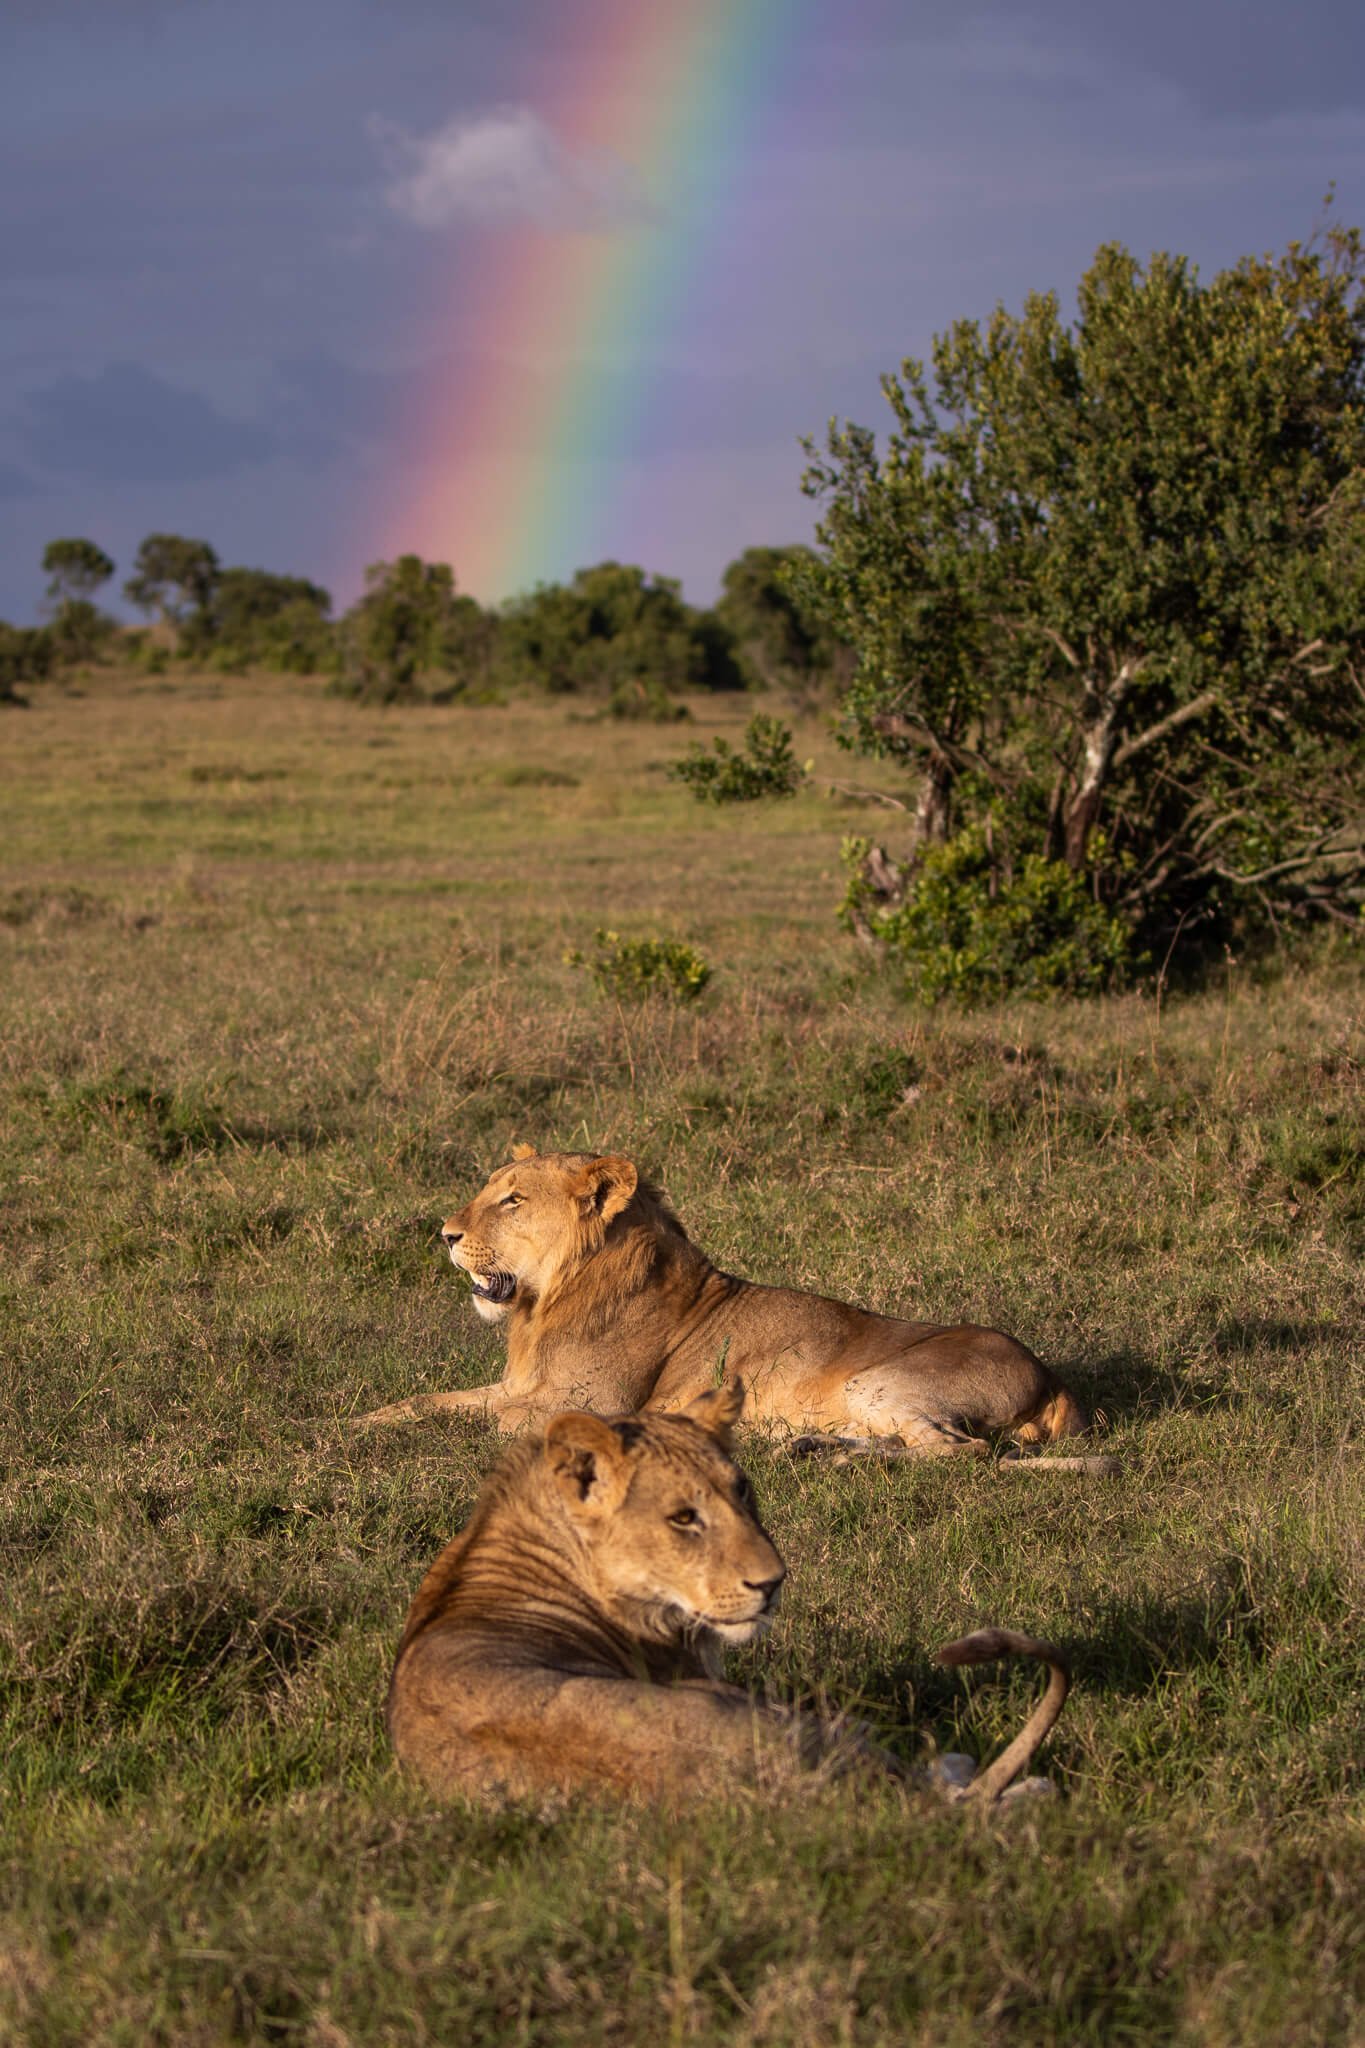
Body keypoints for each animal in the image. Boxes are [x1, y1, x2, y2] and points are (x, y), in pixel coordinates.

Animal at [360, 1145, 1098, 1463]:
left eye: (511, 1199)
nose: (445, 1234)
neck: (545, 1303)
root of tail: (1052, 1378)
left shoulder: (593, 1405)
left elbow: (489, 1422)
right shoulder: (521, 1385)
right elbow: (428, 1402)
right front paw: (357, 1422)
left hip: (879, 1380)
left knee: (956, 1450)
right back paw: (810, 1446)